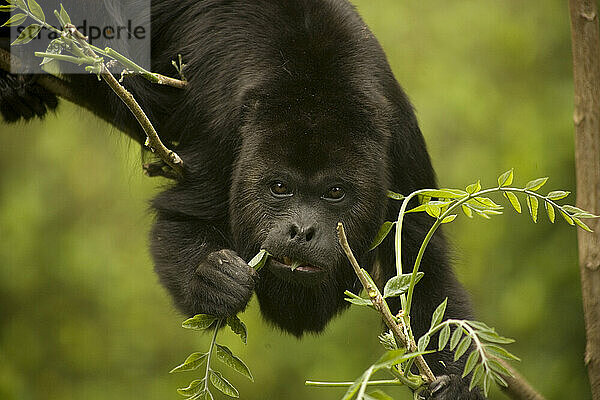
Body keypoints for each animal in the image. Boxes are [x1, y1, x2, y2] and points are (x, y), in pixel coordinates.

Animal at [1, 1, 482, 398]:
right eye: (279, 188)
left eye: (335, 192)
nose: (301, 230)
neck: (315, 91)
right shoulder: (226, 131)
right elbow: (180, 216)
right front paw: (214, 279)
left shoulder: (400, 146)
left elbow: (423, 262)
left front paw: (456, 385)